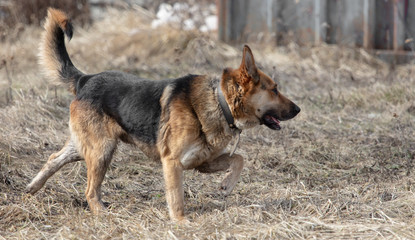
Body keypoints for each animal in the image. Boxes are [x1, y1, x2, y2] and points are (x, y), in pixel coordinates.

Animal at [26, 7, 300, 221]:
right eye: (275, 89)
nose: (298, 109)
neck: (219, 102)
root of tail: (85, 79)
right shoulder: (173, 163)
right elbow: (176, 196)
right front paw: (181, 222)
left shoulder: (202, 162)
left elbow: (239, 159)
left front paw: (227, 185)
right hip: (102, 150)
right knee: (90, 190)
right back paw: (102, 213)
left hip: (85, 148)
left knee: (53, 158)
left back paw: (32, 187)